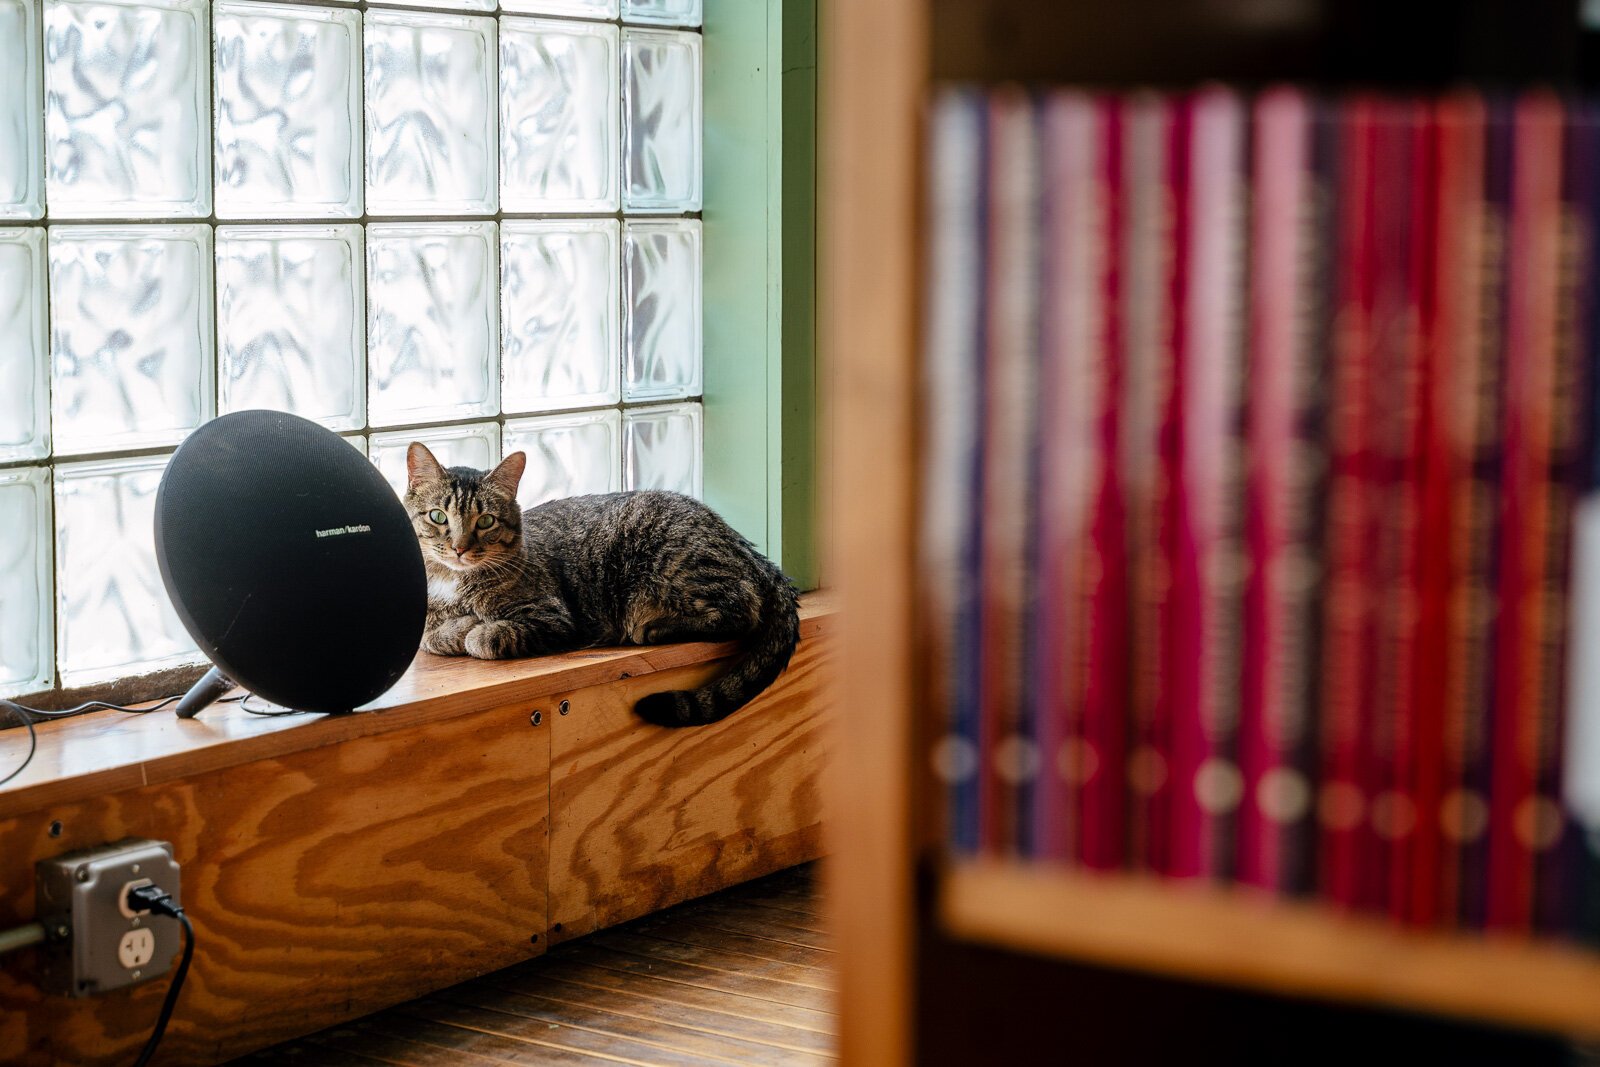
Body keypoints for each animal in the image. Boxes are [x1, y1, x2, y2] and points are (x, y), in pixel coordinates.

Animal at [400, 441, 800, 726]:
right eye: (438, 516)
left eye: (485, 521)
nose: (459, 548)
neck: (453, 582)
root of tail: (753, 553)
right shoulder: (427, 619)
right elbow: (432, 635)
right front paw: (458, 626)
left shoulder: (554, 617)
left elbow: (485, 637)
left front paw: (474, 628)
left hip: (675, 566)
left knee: (741, 610)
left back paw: (653, 628)